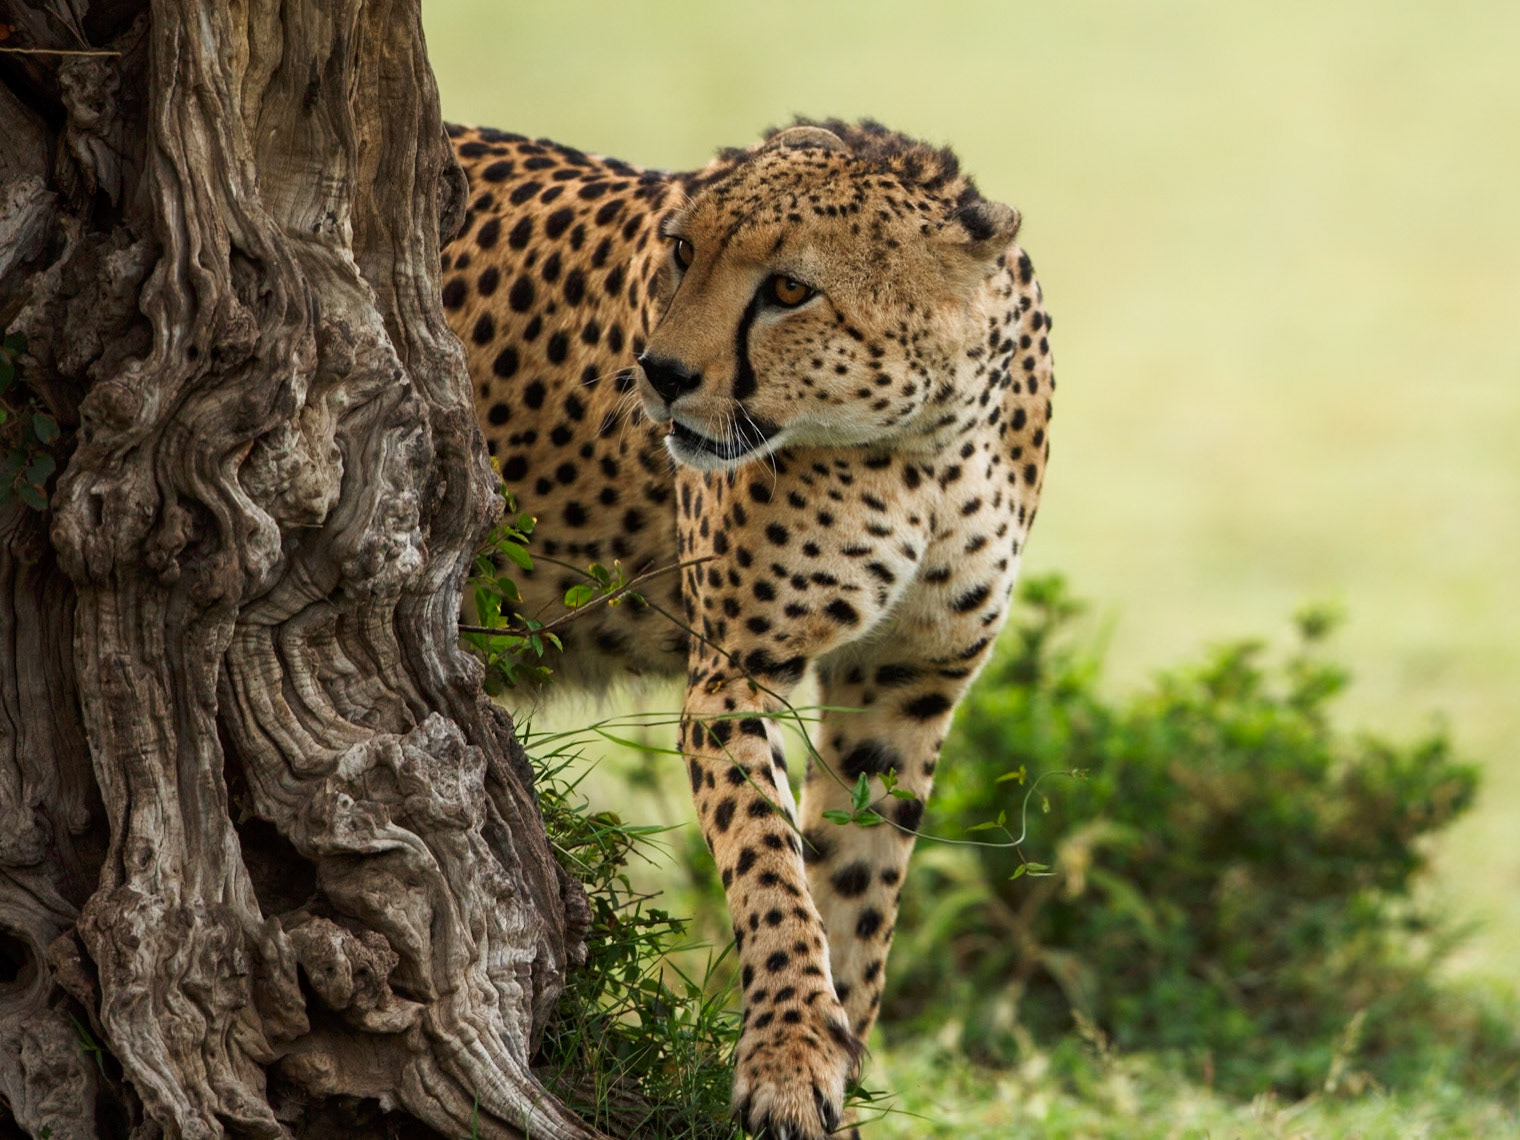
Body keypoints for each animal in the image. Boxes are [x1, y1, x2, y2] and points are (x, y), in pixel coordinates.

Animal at [442, 117, 1055, 1139]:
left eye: (790, 290)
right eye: (685, 254)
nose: (660, 375)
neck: (924, 443)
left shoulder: (903, 690)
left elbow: (856, 895)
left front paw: (837, 1075)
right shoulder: (734, 674)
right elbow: (772, 869)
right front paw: (792, 1057)